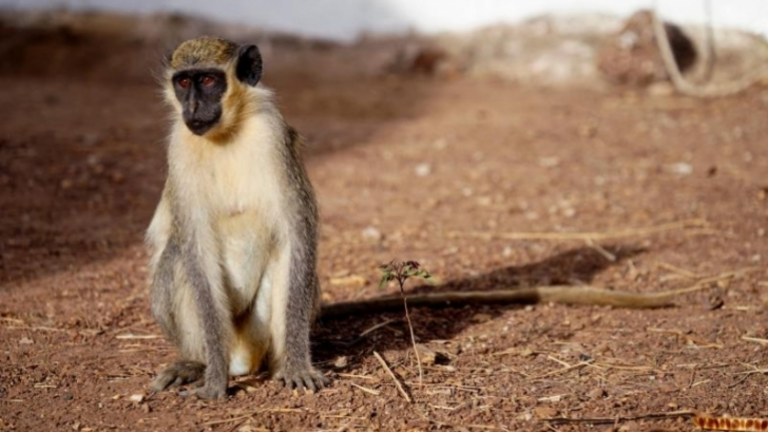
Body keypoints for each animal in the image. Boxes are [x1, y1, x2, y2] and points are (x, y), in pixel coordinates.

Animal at [147, 36, 697, 401]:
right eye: (184, 82)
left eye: (210, 80)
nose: (194, 108)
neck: (229, 133)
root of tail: (248, 353)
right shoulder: (177, 146)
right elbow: (194, 247)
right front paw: (213, 378)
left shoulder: (273, 135)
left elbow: (298, 237)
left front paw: (300, 365)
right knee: (176, 260)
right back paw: (198, 362)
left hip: (261, 328)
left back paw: (282, 361)